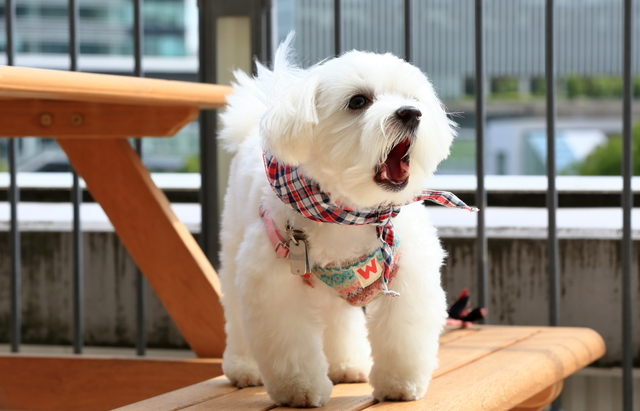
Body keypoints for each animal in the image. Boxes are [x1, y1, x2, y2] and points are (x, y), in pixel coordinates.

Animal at [219, 36, 476, 408]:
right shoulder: (273, 282)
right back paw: (243, 367)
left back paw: (347, 364)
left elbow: (403, 334)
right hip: (234, 244)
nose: (411, 114)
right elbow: (290, 345)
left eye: (413, 99)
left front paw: (400, 384)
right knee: (236, 313)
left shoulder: (408, 272)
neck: (352, 213)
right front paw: (299, 390)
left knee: (337, 318)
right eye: (358, 101)